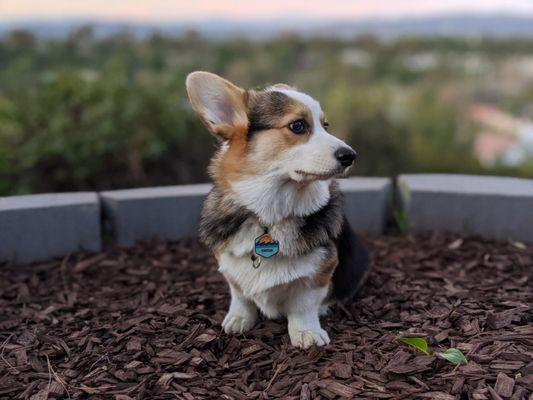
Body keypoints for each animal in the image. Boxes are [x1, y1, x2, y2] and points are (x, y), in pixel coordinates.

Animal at [187, 73, 370, 348]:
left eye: (325, 125)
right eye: (298, 126)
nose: (350, 155)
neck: (270, 215)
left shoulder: (319, 272)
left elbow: (303, 305)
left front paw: (307, 333)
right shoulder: (228, 265)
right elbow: (240, 295)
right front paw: (239, 319)